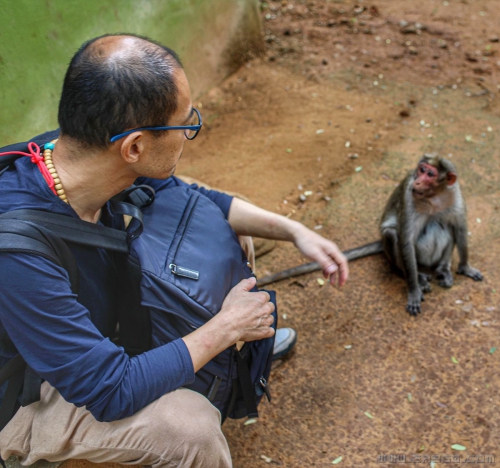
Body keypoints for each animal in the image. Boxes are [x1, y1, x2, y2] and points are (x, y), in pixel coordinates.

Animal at [380, 155, 482, 316]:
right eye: (422, 170)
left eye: (430, 174)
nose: (417, 181)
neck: (435, 197)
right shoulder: (408, 196)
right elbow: (406, 241)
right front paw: (414, 291)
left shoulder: (456, 195)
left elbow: (460, 229)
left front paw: (466, 268)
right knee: (391, 234)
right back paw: (419, 278)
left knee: (448, 225)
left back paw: (443, 269)